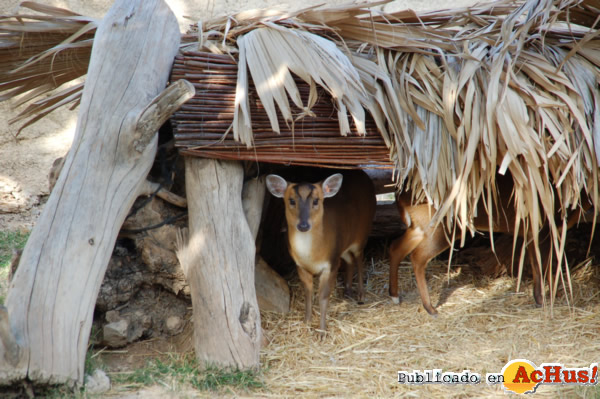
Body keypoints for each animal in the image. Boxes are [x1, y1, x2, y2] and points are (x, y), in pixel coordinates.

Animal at [268, 170, 376, 336]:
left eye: (316, 201)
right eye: (291, 200)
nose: (303, 225)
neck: (311, 255)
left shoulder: (330, 264)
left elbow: (323, 297)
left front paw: (322, 331)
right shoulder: (301, 266)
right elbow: (308, 294)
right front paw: (306, 322)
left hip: (362, 234)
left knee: (359, 258)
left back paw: (361, 295)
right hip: (342, 246)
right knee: (349, 260)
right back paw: (347, 291)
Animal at [390, 175, 596, 316]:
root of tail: (400, 195)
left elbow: (543, 265)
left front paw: (545, 297)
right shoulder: (540, 228)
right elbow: (543, 265)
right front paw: (545, 299)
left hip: (420, 226)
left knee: (396, 248)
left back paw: (395, 295)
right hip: (442, 227)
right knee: (417, 257)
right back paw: (430, 308)